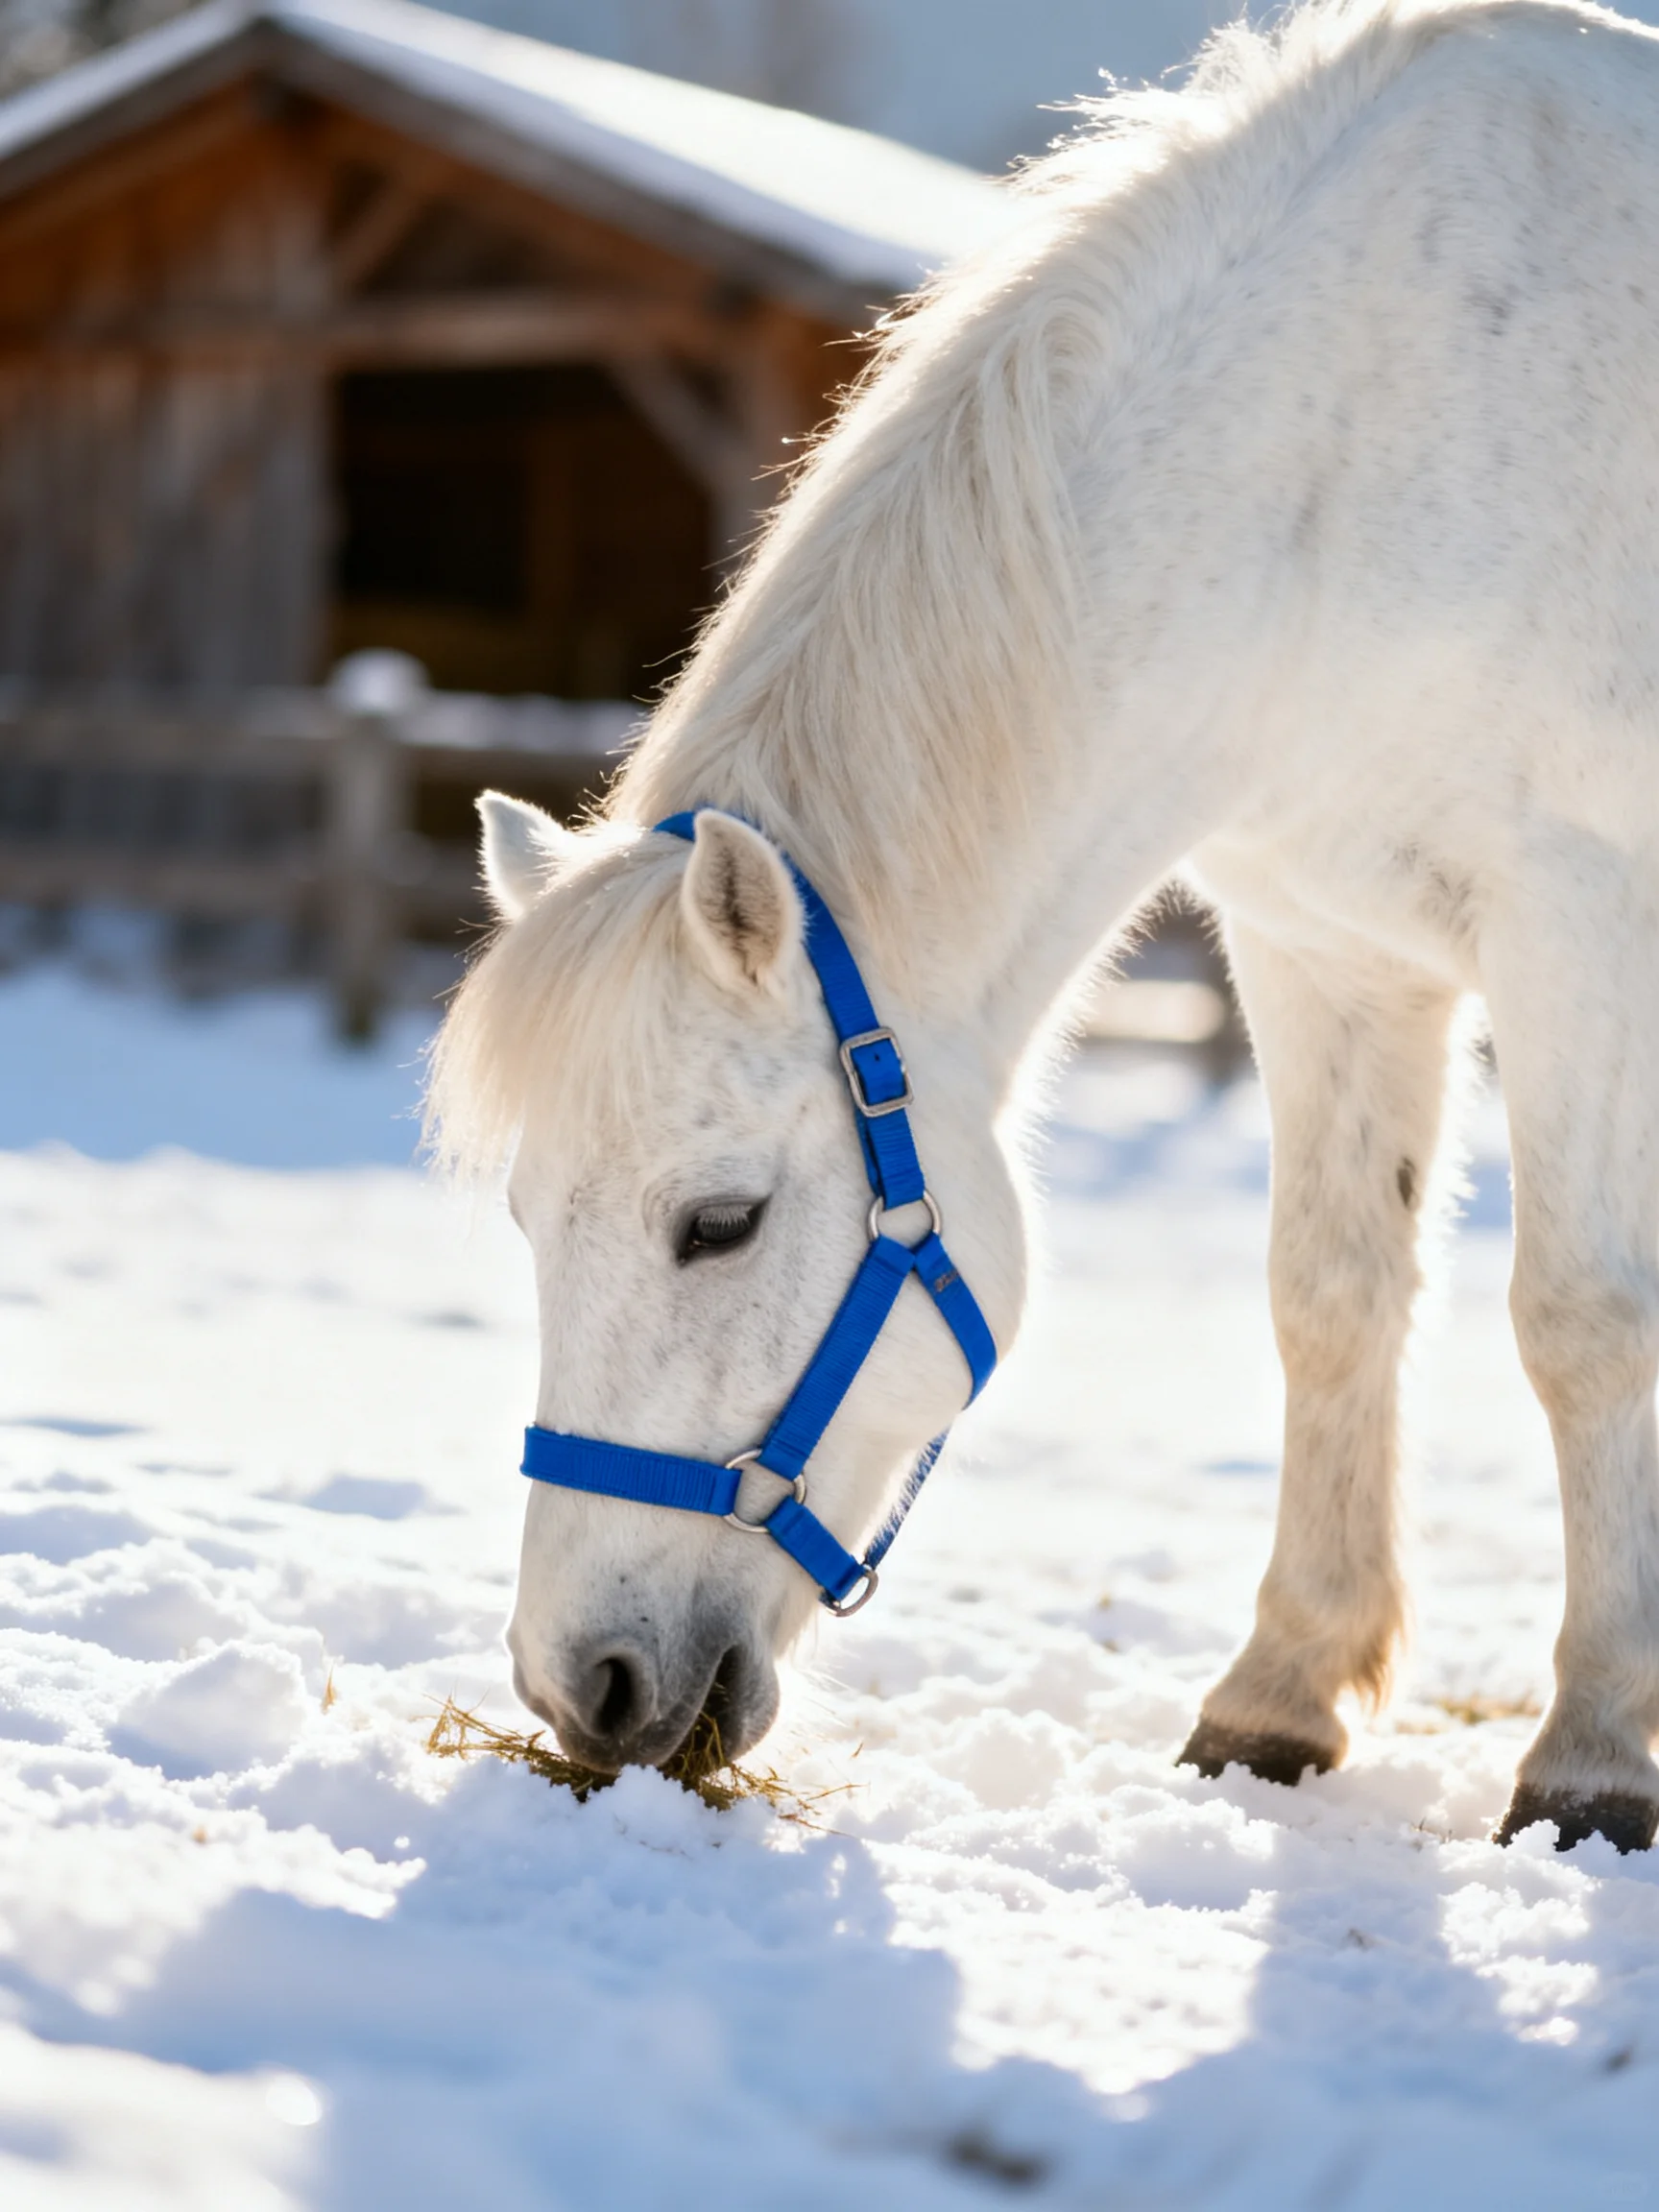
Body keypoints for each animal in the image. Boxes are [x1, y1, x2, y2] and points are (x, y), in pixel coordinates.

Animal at [426, 0, 1659, 1855]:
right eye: (517, 1215)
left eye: (718, 1222)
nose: (589, 1687)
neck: (1351, 444)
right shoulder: (1325, 945)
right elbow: (1330, 1294)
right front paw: (1276, 1698)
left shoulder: (1573, 928)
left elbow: (1581, 1322)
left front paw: (1593, 1753)